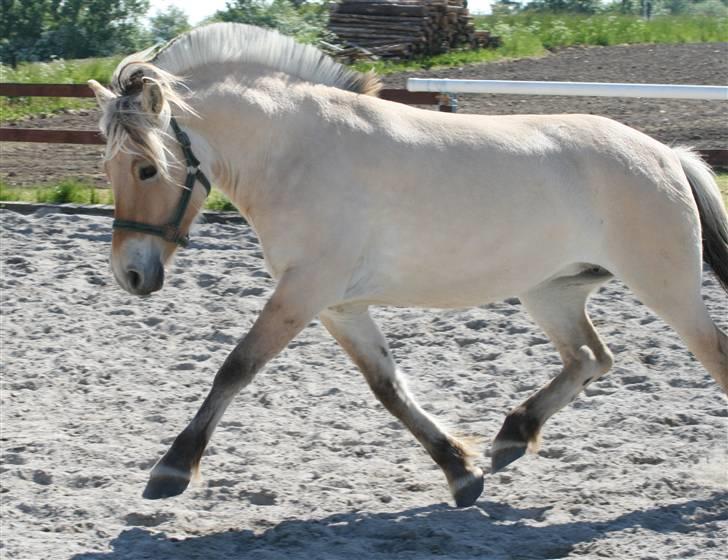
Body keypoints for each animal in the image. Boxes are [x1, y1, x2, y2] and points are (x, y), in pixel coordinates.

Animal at [91, 23, 728, 508]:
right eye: (109, 168)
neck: (299, 152)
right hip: (551, 292)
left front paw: (172, 469)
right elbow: (388, 387)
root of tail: (666, 153)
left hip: (667, 290)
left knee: (707, 355)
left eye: (147, 168)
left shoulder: (304, 291)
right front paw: (461, 472)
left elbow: (236, 367)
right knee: (591, 358)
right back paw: (511, 435)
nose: (131, 275)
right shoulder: (340, 306)